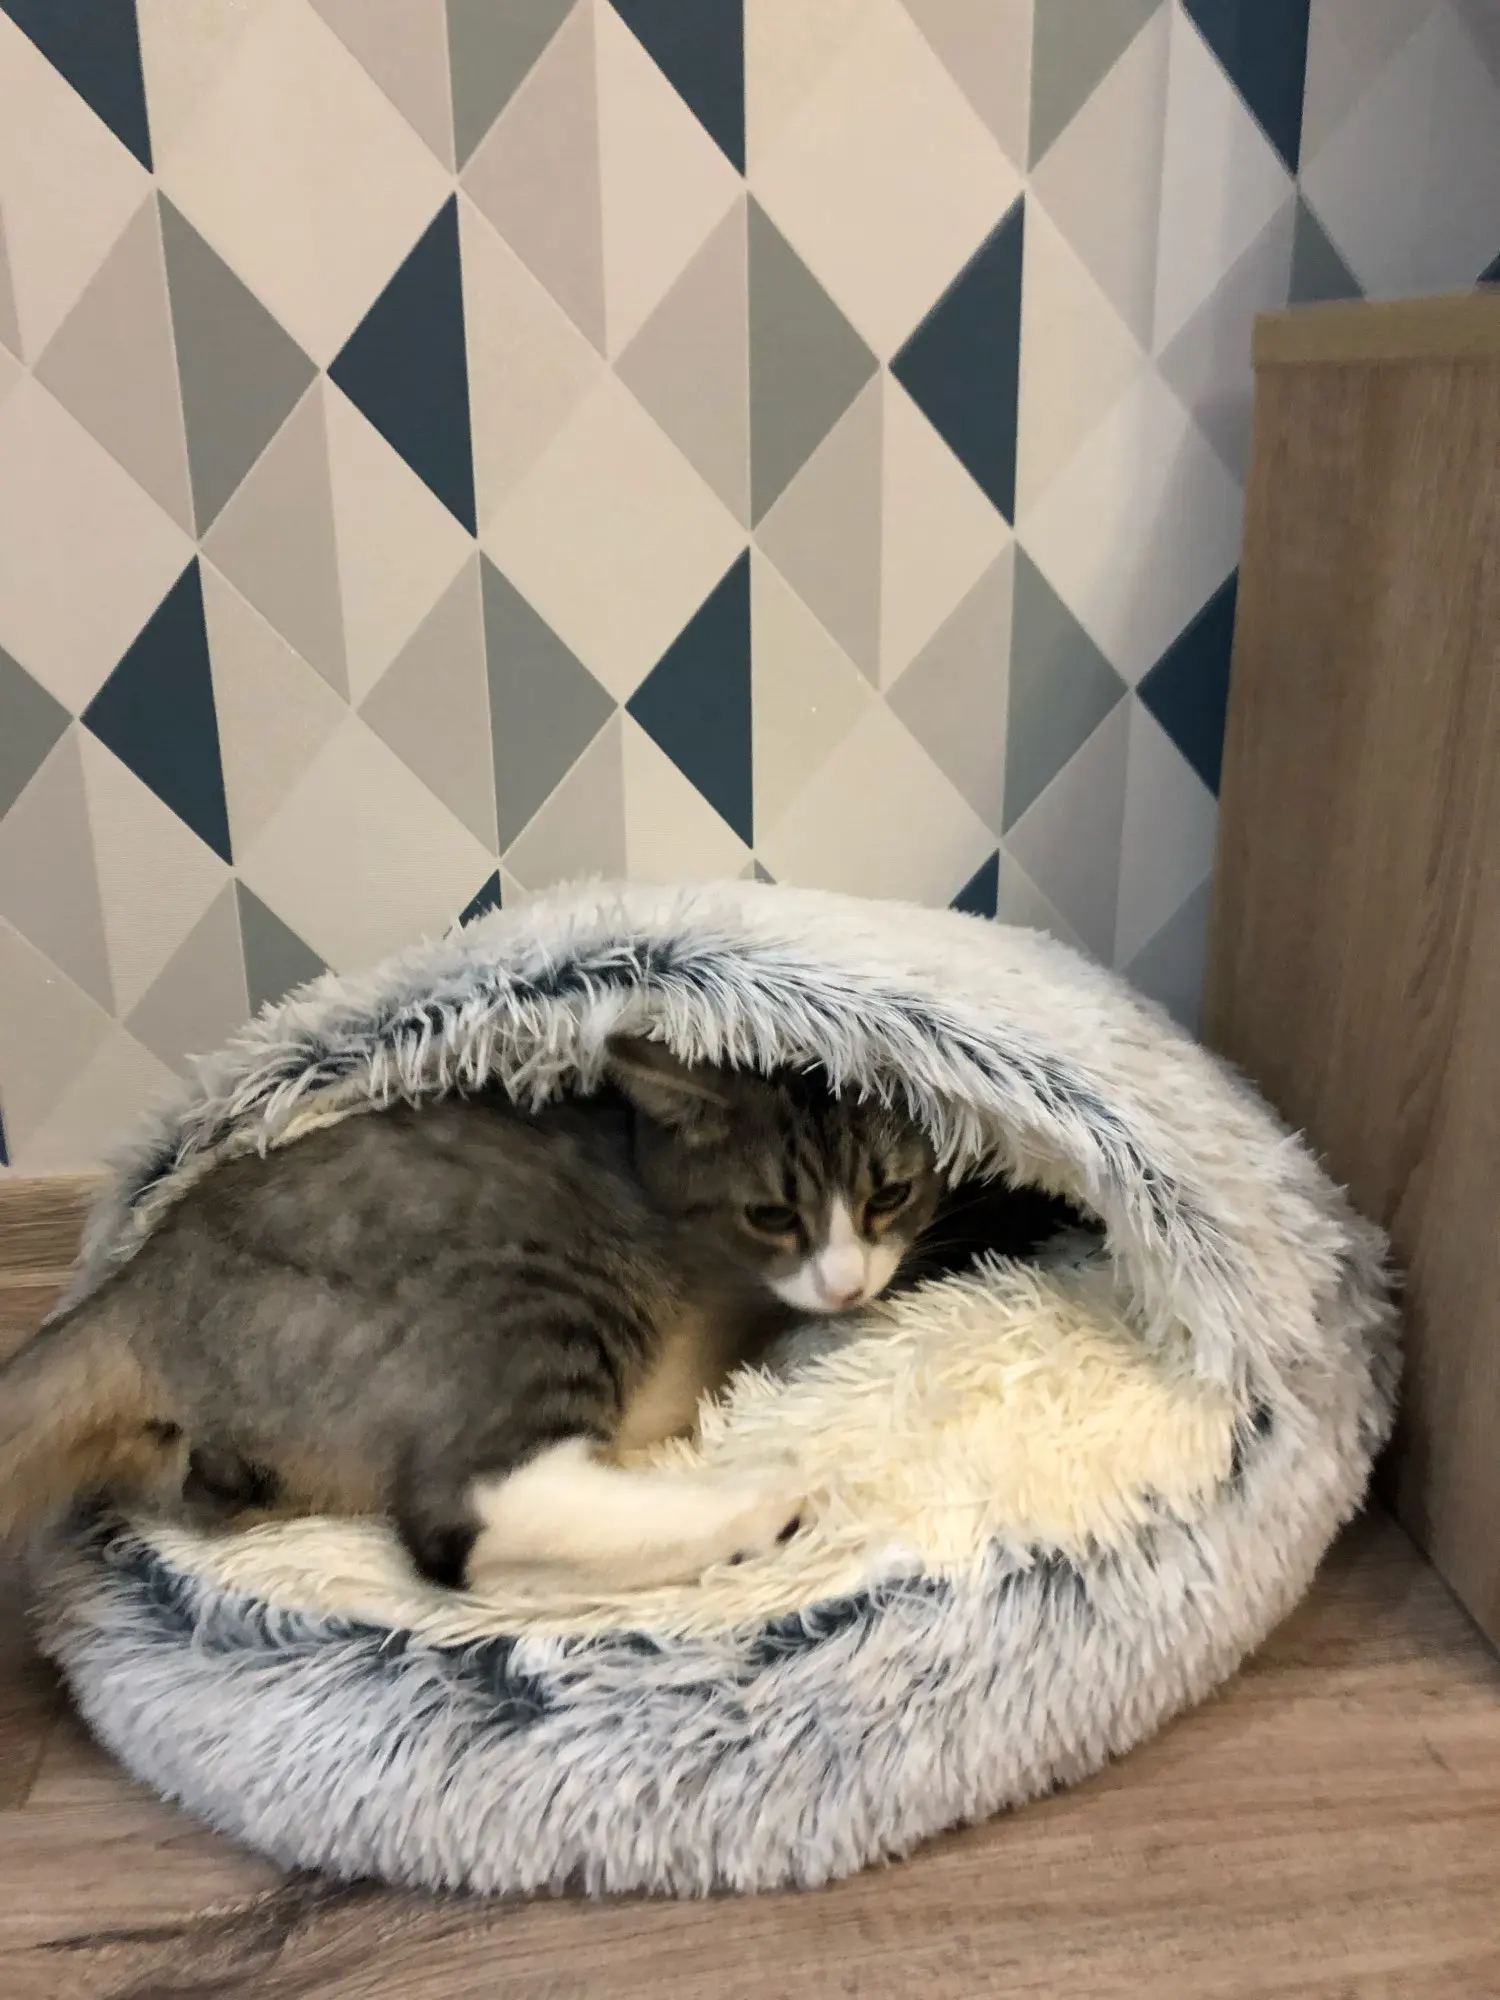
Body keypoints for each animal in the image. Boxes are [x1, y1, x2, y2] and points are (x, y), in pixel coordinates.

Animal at [0, 1038, 941, 1593]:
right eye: (772, 1216)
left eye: (890, 1195)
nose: (847, 1289)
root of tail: (139, 1280)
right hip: (543, 1290)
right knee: (466, 1512)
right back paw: (764, 1500)